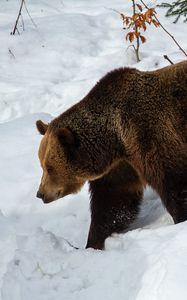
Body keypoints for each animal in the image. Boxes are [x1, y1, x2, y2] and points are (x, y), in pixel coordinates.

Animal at [36, 60, 187, 248]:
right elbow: (113, 202)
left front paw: (181, 218)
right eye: (41, 165)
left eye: (50, 168)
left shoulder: (148, 133)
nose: (40, 193)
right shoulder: (120, 165)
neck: (116, 139)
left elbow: (174, 179)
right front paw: (93, 242)